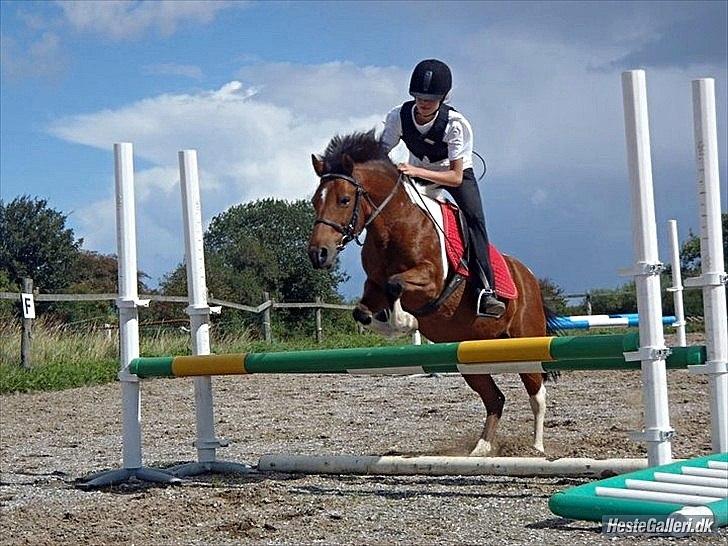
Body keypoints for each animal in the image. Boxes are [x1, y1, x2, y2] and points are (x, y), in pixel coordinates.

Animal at [308, 129, 552, 454]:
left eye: (344, 200)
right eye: (314, 201)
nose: (318, 254)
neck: (393, 225)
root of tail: (529, 277)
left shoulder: (432, 281)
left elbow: (396, 284)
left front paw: (407, 321)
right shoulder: (372, 286)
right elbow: (364, 310)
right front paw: (389, 322)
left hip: (526, 340)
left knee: (537, 394)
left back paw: (536, 448)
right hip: (469, 357)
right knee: (495, 398)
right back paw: (481, 449)